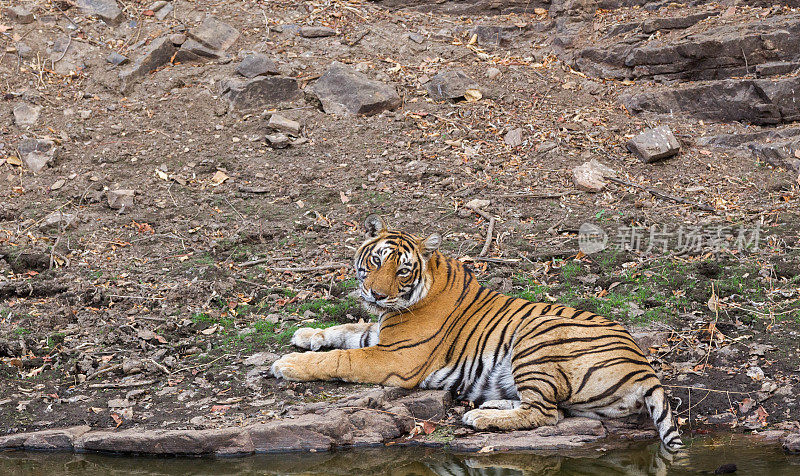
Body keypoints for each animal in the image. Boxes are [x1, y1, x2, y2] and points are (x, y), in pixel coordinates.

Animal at [272, 216, 684, 450]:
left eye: (402, 270)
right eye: (375, 261)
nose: (376, 294)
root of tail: (645, 366)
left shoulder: (394, 357)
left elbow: (341, 357)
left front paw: (287, 364)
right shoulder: (380, 336)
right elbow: (346, 330)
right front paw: (305, 334)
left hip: (536, 340)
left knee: (546, 414)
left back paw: (480, 419)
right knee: (547, 408)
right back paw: (488, 407)